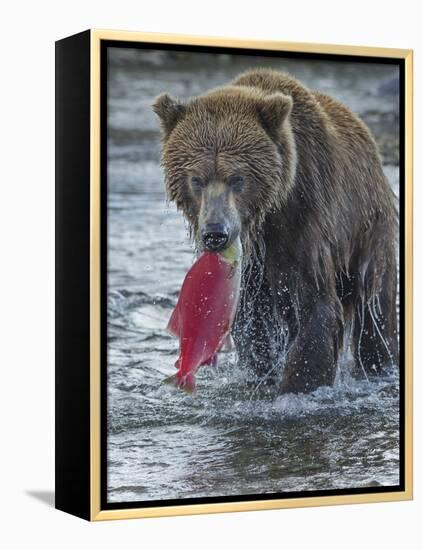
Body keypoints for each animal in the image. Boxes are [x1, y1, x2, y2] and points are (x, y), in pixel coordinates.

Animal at [153, 69, 400, 394]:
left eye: (237, 178)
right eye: (196, 179)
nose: (215, 232)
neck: (266, 217)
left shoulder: (305, 219)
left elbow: (315, 307)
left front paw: (297, 386)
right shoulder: (252, 263)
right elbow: (251, 319)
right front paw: (263, 373)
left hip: (368, 228)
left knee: (375, 310)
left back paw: (378, 364)